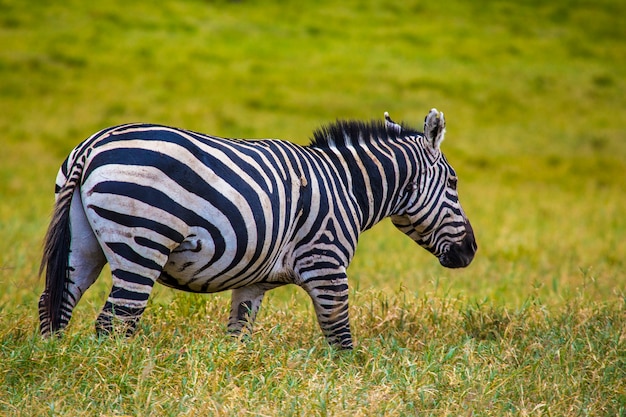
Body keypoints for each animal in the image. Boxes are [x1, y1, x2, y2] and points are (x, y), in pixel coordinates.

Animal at [39, 107, 476, 348]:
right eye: (454, 183)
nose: (470, 251)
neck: (347, 186)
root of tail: (92, 145)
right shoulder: (327, 264)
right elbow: (340, 337)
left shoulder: (251, 282)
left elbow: (238, 335)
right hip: (142, 242)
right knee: (116, 320)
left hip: (83, 243)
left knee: (55, 302)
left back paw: (54, 363)